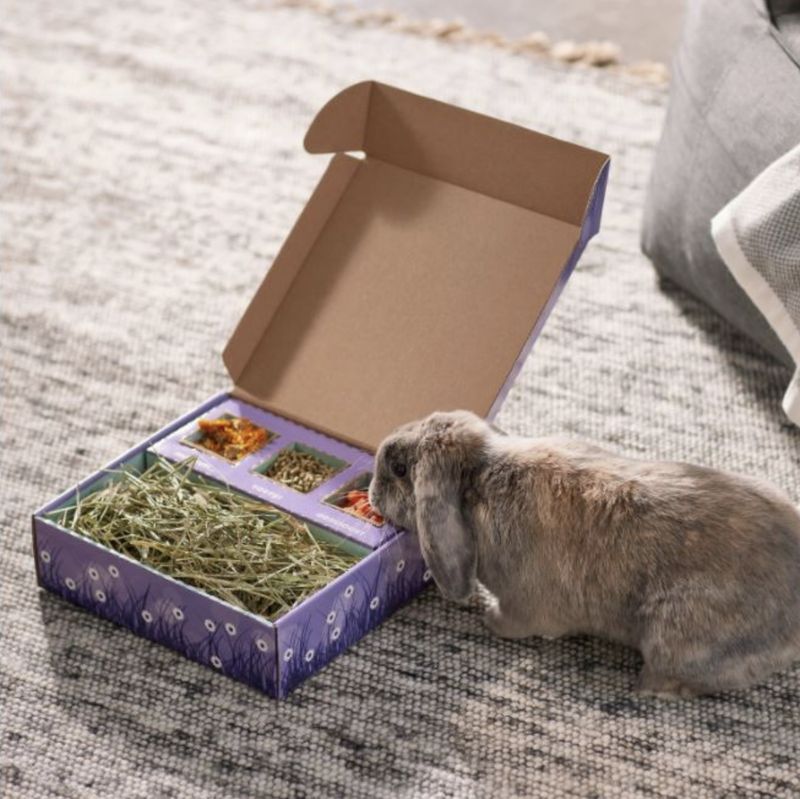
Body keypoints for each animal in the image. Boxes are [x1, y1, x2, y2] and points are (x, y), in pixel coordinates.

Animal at [369, 410, 800, 698]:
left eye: (401, 468)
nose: (371, 493)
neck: (480, 480)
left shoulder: (525, 606)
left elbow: (513, 622)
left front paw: (488, 617)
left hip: (674, 638)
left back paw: (646, 688)